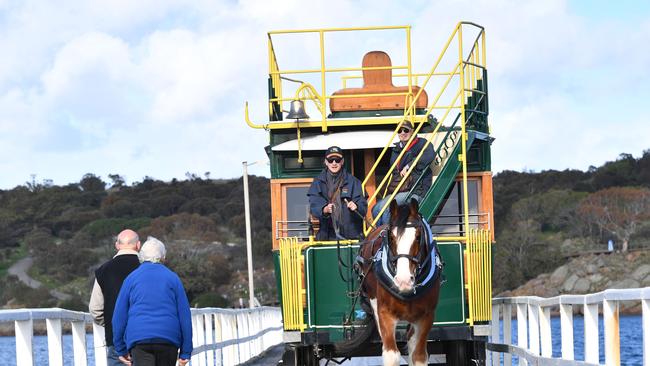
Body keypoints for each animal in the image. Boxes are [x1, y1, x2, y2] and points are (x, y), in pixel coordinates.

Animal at [350, 199, 440, 364]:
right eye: (391, 237)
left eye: (418, 236)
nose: (403, 281)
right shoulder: (385, 313)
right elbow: (391, 354)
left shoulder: (426, 316)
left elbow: (419, 356)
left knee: (411, 342)